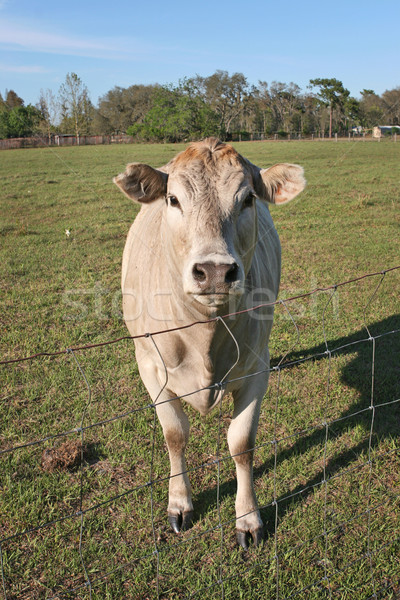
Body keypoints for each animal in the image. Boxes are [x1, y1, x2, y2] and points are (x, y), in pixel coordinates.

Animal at [114, 137, 304, 548]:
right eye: (173, 199)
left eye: (248, 199)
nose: (215, 271)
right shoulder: (150, 366)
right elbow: (174, 435)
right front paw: (179, 503)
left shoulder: (257, 369)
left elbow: (241, 443)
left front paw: (248, 518)